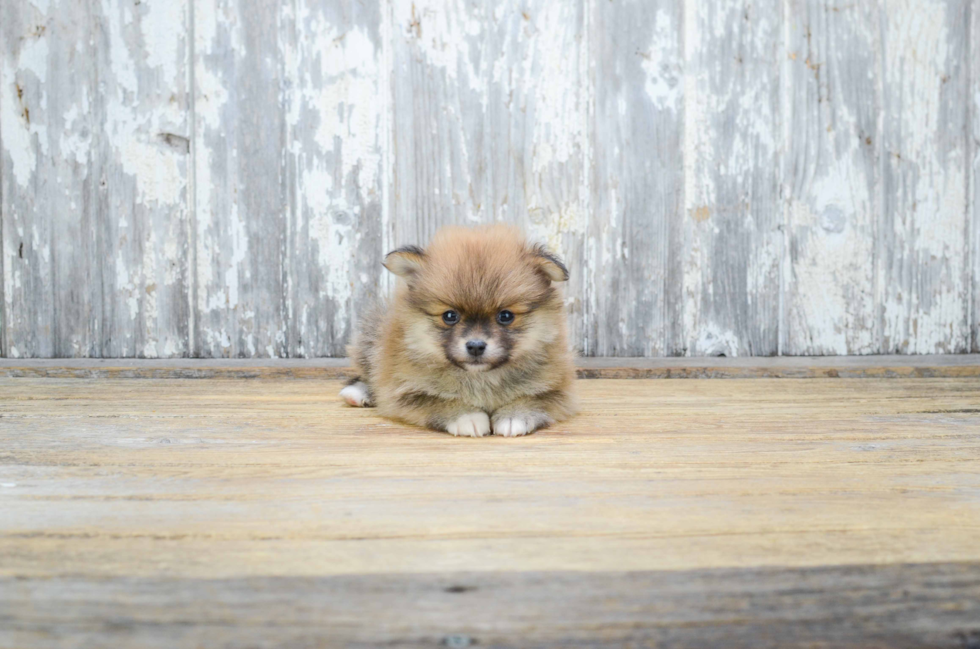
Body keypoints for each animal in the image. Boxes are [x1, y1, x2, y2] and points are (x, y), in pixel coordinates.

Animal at [340, 225, 580, 438]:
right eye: (449, 316)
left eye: (505, 316)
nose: (475, 346)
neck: (480, 377)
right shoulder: (403, 390)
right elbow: (437, 401)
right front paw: (468, 417)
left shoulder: (559, 389)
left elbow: (536, 399)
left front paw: (513, 416)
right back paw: (357, 393)